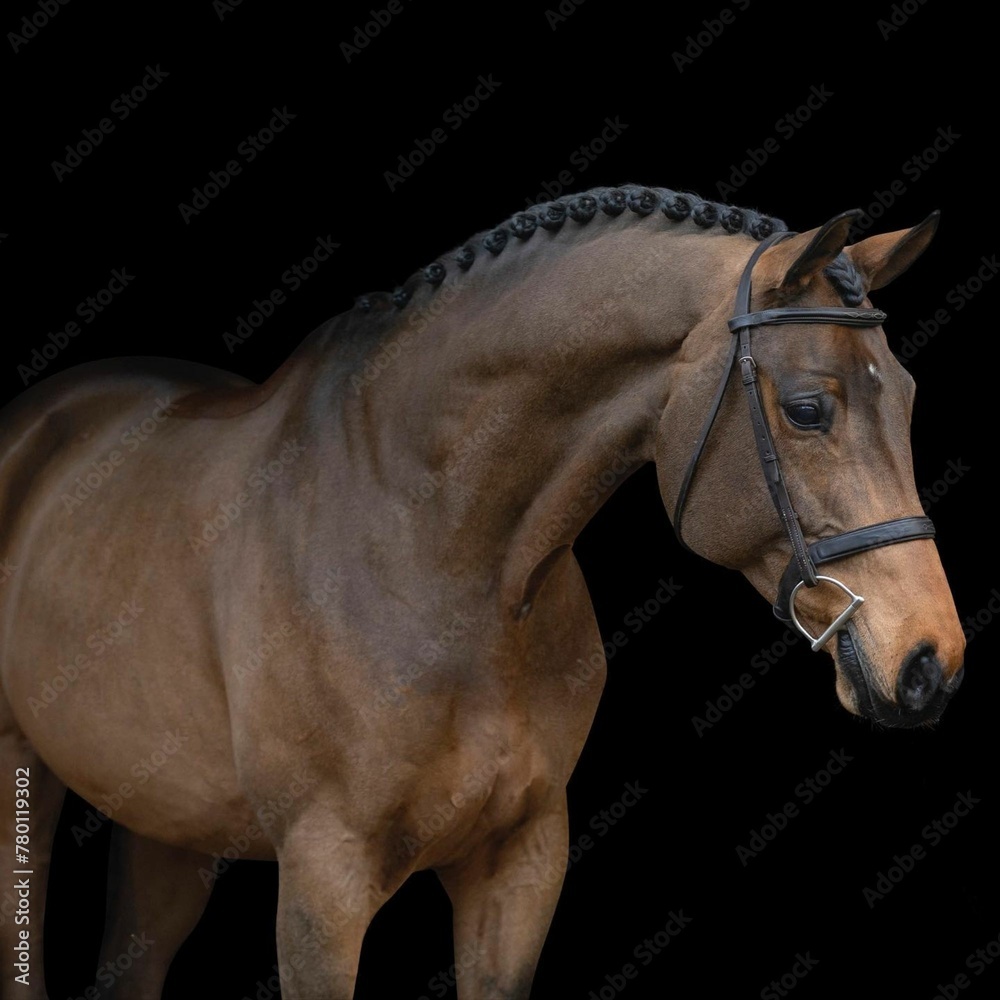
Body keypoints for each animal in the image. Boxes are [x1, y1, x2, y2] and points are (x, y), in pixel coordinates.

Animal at [0, 184, 965, 999]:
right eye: (807, 408)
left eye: (910, 395)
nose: (931, 662)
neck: (436, 555)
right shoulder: (322, 882)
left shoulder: (521, 862)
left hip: (163, 819)